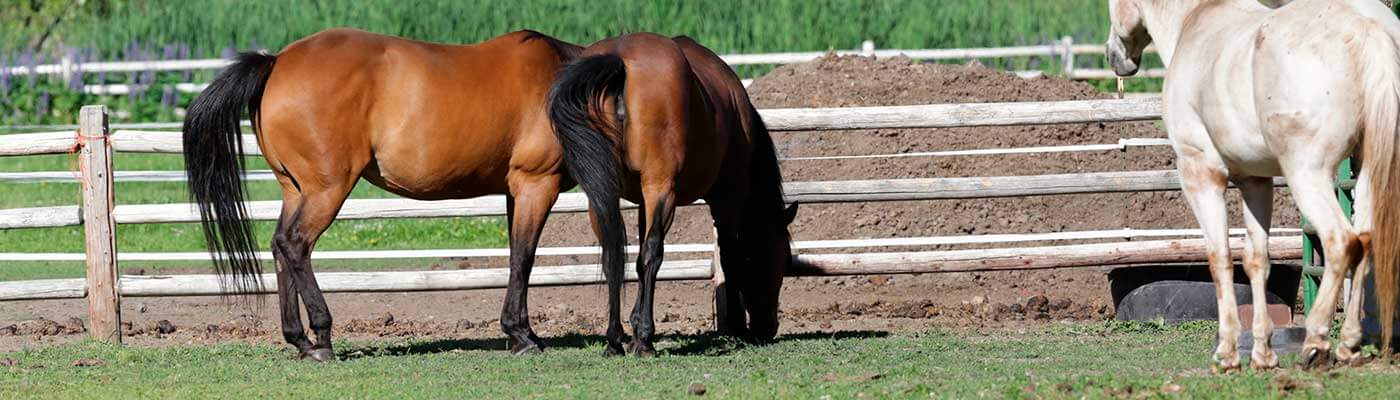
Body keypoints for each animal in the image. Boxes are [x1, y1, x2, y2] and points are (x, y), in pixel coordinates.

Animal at [181, 28, 581, 360]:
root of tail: (277, 61)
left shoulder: (516, 191)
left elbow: (516, 254)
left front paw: (521, 333)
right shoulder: (536, 184)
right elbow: (524, 258)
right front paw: (522, 336)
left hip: (295, 190)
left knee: (280, 247)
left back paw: (300, 340)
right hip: (327, 190)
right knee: (294, 244)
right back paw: (321, 338)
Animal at [547, 33, 798, 356]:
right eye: (779, 258)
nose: (768, 328)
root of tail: (619, 59)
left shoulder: (643, 202)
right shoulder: (726, 201)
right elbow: (728, 255)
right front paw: (735, 327)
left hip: (603, 194)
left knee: (613, 255)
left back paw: (615, 339)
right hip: (662, 189)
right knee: (652, 253)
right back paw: (644, 339)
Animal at [1106, 0, 1400, 371]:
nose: (1113, 56)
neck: (1195, 21)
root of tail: (1367, 28)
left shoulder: (1201, 173)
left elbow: (1219, 258)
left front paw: (1228, 353)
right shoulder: (1255, 181)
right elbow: (1257, 260)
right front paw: (1262, 354)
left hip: (1308, 174)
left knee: (1341, 242)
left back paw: (1316, 344)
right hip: (1368, 171)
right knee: (1365, 240)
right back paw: (1348, 345)